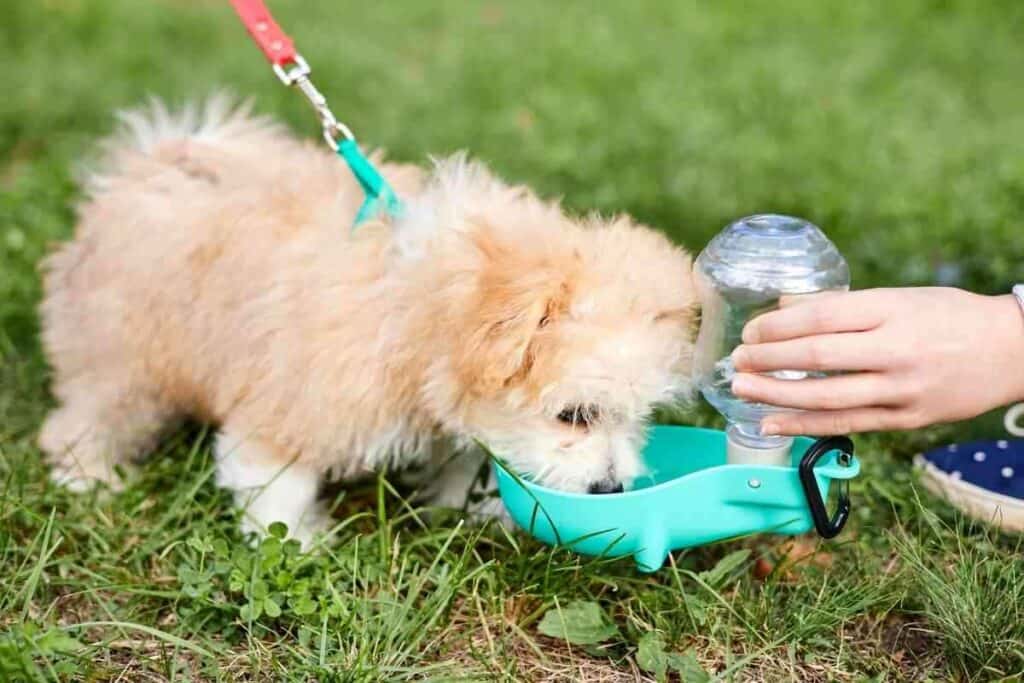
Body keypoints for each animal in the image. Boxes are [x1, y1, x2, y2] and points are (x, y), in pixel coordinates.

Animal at [37, 96, 696, 544]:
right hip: (121, 350)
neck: (423, 305)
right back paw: (88, 475)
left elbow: (466, 457)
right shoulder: (293, 403)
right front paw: (293, 543)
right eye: (574, 416)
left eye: (638, 419)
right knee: (89, 414)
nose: (611, 488)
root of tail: (150, 164)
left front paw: (467, 508)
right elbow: (278, 483)